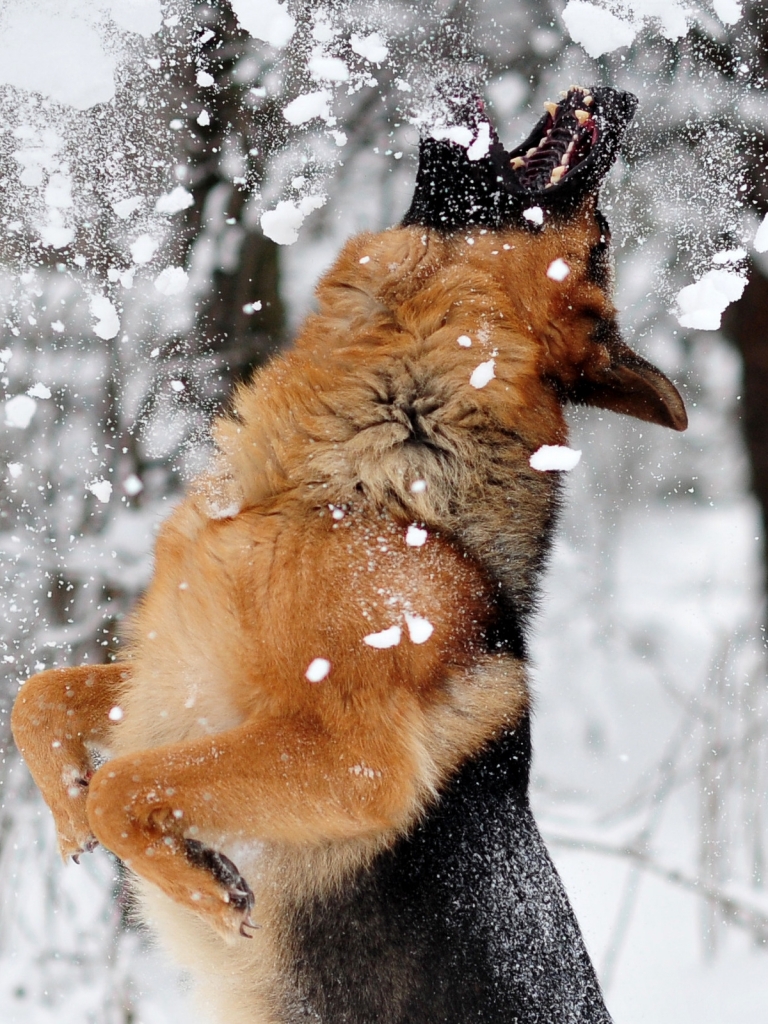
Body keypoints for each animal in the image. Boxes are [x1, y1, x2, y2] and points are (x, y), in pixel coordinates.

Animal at [10, 90, 684, 1024]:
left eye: (604, 237)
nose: (622, 98)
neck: (362, 485)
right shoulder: (175, 676)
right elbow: (38, 699)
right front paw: (69, 812)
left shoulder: (351, 759)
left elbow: (125, 785)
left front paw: (199, 882)